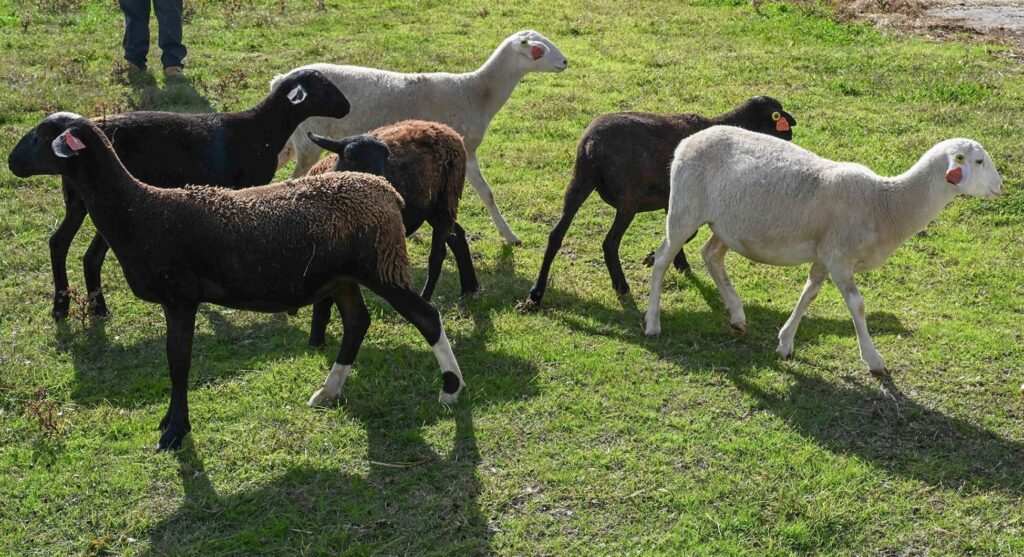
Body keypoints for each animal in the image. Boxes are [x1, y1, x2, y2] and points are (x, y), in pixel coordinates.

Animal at [47, 68, 350, 321]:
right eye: (322, 87)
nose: (346, 107)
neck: (262, 129)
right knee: (84, 251)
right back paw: (87, 307)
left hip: (79, 201)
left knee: (63, 243)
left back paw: (70, 307)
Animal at [273, 29, 569, 246]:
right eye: (539, 49)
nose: (566, 61)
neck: (474, 92)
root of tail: (279, 79)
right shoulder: (462, 149)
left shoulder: (465, 150)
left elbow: (486, 192)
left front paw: (509, 236)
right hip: (307, 143)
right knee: (294, 180)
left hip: (289, 140)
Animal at [303, 120, 478, 347]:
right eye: (350, 157)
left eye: (386, 157)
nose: (384, 184)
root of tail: (446, 129)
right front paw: (317, 338)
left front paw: (317, 338)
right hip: (433, 208)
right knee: (457, 235)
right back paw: (469, 288)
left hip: (445, 199)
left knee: (438, 255)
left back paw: (427, 297)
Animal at [520, 96, 797, 311]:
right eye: (775, 115)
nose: (792, 134)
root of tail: (591, 145)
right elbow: (688, 234)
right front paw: (655, 258)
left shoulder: (673, 200)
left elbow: (680, 235)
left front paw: (679, 263)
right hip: (627, 199)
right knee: (609, 243)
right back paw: (621, 285)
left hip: (579, 183)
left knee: (555, 235)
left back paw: (535, 294)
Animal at [644, 126, 1003, 375]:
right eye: (979, 161)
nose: (1001, 186)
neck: (884, 204)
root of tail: (686, 142)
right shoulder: (840, 258)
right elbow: (857, 306)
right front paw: (873, 360)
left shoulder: (825, 255)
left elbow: (810, 292)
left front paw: (785, 342)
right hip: (684, 211)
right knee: (662, 260)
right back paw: (652, 324)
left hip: (728, 226)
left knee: (711, 255)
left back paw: (736, 314)